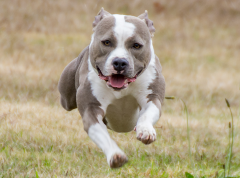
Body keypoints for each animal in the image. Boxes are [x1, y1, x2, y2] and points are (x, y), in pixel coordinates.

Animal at [58, 7, 165, 168]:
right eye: (107, 42)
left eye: (136, 45)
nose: (120, 62)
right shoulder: (91, 109)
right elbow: (102, 135)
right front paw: (115, 155)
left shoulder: (152, 97)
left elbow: (147, 114)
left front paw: (145, 130)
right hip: (66, 98)